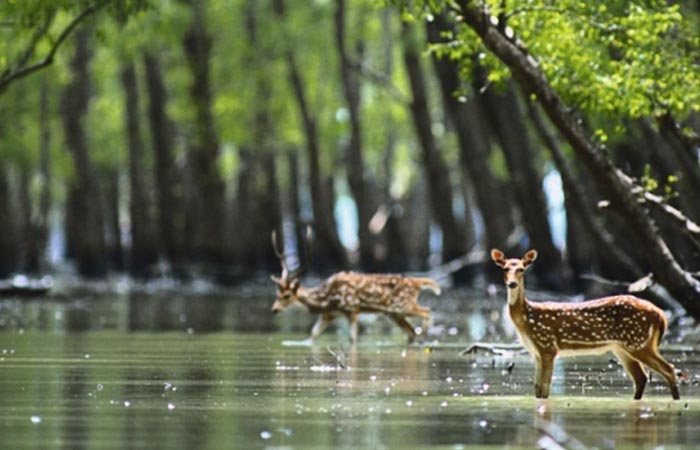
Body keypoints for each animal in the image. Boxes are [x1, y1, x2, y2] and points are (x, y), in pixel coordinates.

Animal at [270, 230, 440, 342]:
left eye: (286, 296)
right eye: (276, 295)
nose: (274, 309)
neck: (326, 299)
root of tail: (417, 282)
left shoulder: (352, 309)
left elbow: (352, 339)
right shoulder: (328, 314)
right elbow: (313, 334)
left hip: (402, 305)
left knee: (427, 311)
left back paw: (423, 336)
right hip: (394, 313)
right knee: (411, 331)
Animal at [490, 248, 680, 400]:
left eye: (521, 269)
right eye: (505, 268)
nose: (512, 283)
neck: (527, 319)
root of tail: (660, 314)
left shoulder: (548, 346)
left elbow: (544, 389)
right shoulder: (536, 352)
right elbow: (537, 389)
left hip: (638, 341)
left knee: (669, 369)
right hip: (623, 347)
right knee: (641, 378)